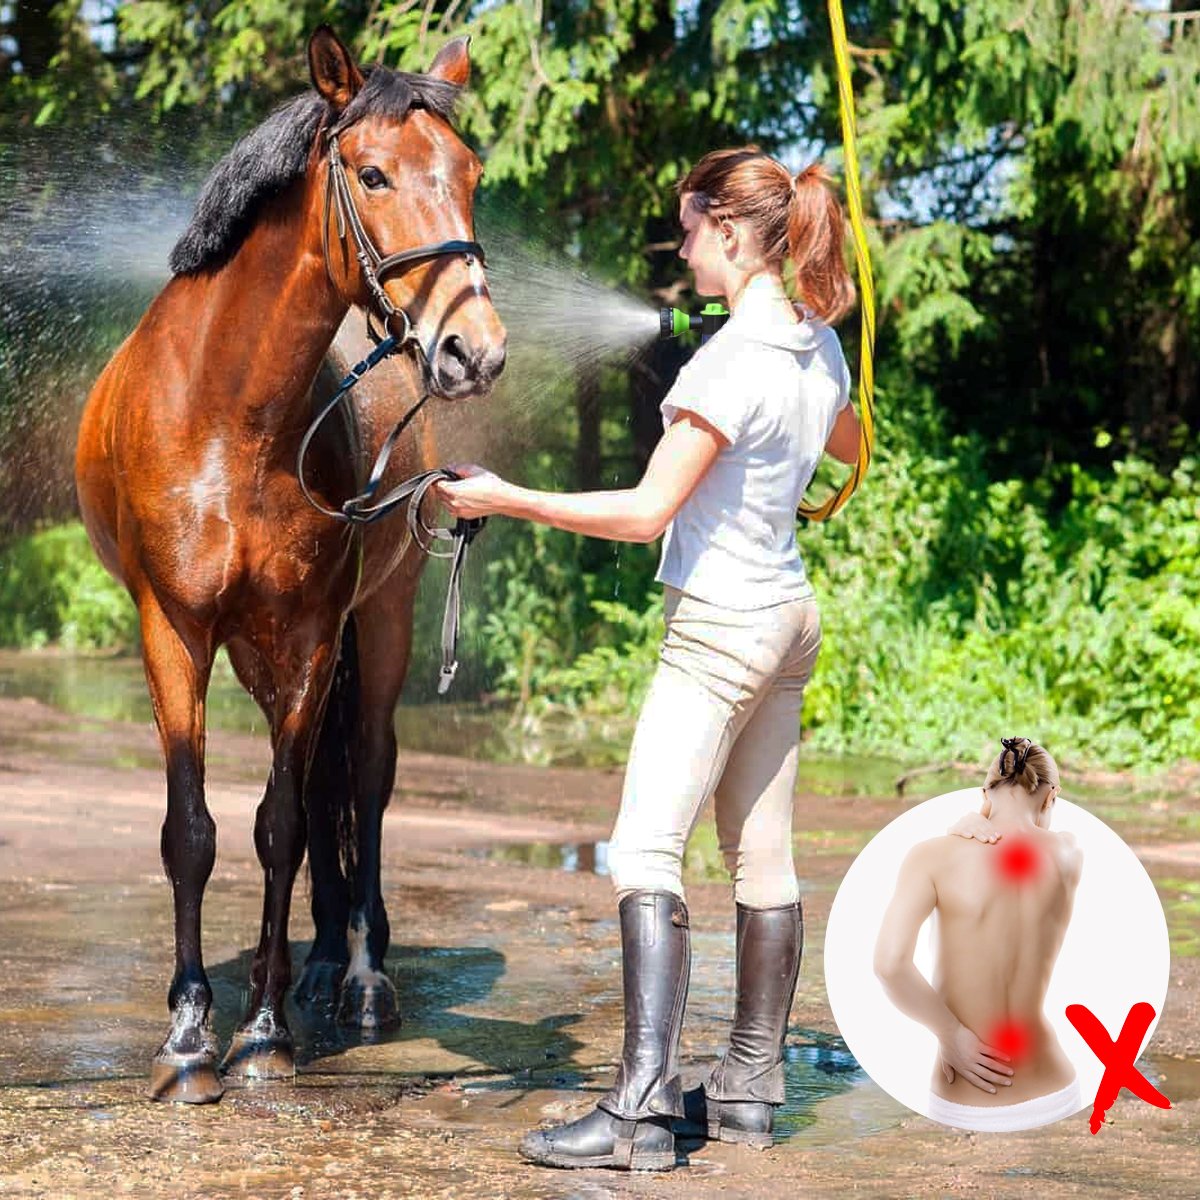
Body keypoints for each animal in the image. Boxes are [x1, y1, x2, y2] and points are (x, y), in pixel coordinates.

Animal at [74, 25, 506, 1104]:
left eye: (470, 174)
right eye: (374, 173)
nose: (474, 351)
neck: (226, 416)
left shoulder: (311, 633)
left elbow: (279, 827)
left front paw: (262, 1035)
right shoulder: (175, 633)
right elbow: (194, 832)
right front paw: (190, 1038)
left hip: (377, 624)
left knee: (364, 782)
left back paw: (357, 977)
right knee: (321, 797)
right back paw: (312, 967)